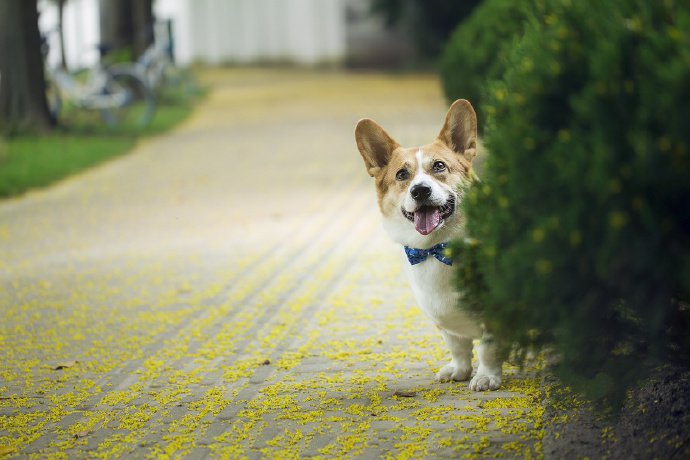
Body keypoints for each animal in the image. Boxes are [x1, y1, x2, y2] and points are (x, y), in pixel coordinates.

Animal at [354, 99, 500, 390]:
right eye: (401, 174)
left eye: (439, 166)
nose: (420, 190)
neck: (439, 247)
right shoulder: (445, 323)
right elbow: (458, 346)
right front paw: (460, 369)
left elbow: (487, 348)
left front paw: (486, 376)